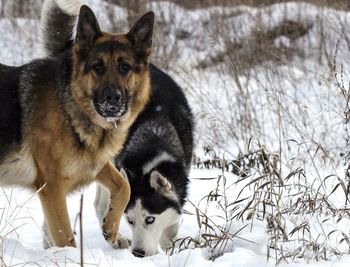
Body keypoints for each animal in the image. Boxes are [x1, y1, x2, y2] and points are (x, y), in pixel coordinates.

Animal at [0, 2, 153, 249]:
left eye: (125, 67)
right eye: (97, 67)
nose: (112, 98)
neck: (71, 105)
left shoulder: (94, 161)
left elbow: (124, 186)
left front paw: (111, 228)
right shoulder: (52, 188)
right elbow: (65, 236)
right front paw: (69, 255)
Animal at [41, 0, 194, 258]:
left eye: (150, 219)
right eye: (130, 220)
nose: (138, 254)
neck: (154, 135)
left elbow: (172, 223)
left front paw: (167, 246)